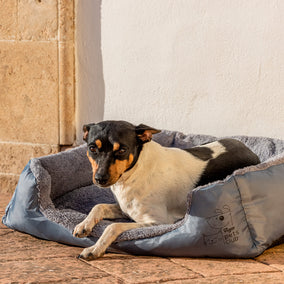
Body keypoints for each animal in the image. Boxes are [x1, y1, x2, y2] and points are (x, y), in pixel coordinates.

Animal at [73, 120, 260, 260]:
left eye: (122, 150)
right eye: (92, 148)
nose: (100, 178)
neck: (135, 172)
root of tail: (252, 152)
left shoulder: (158, 222)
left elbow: (112, 226)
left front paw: (94, 248)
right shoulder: (125, 208)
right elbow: (98, 206)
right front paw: (84, 225)